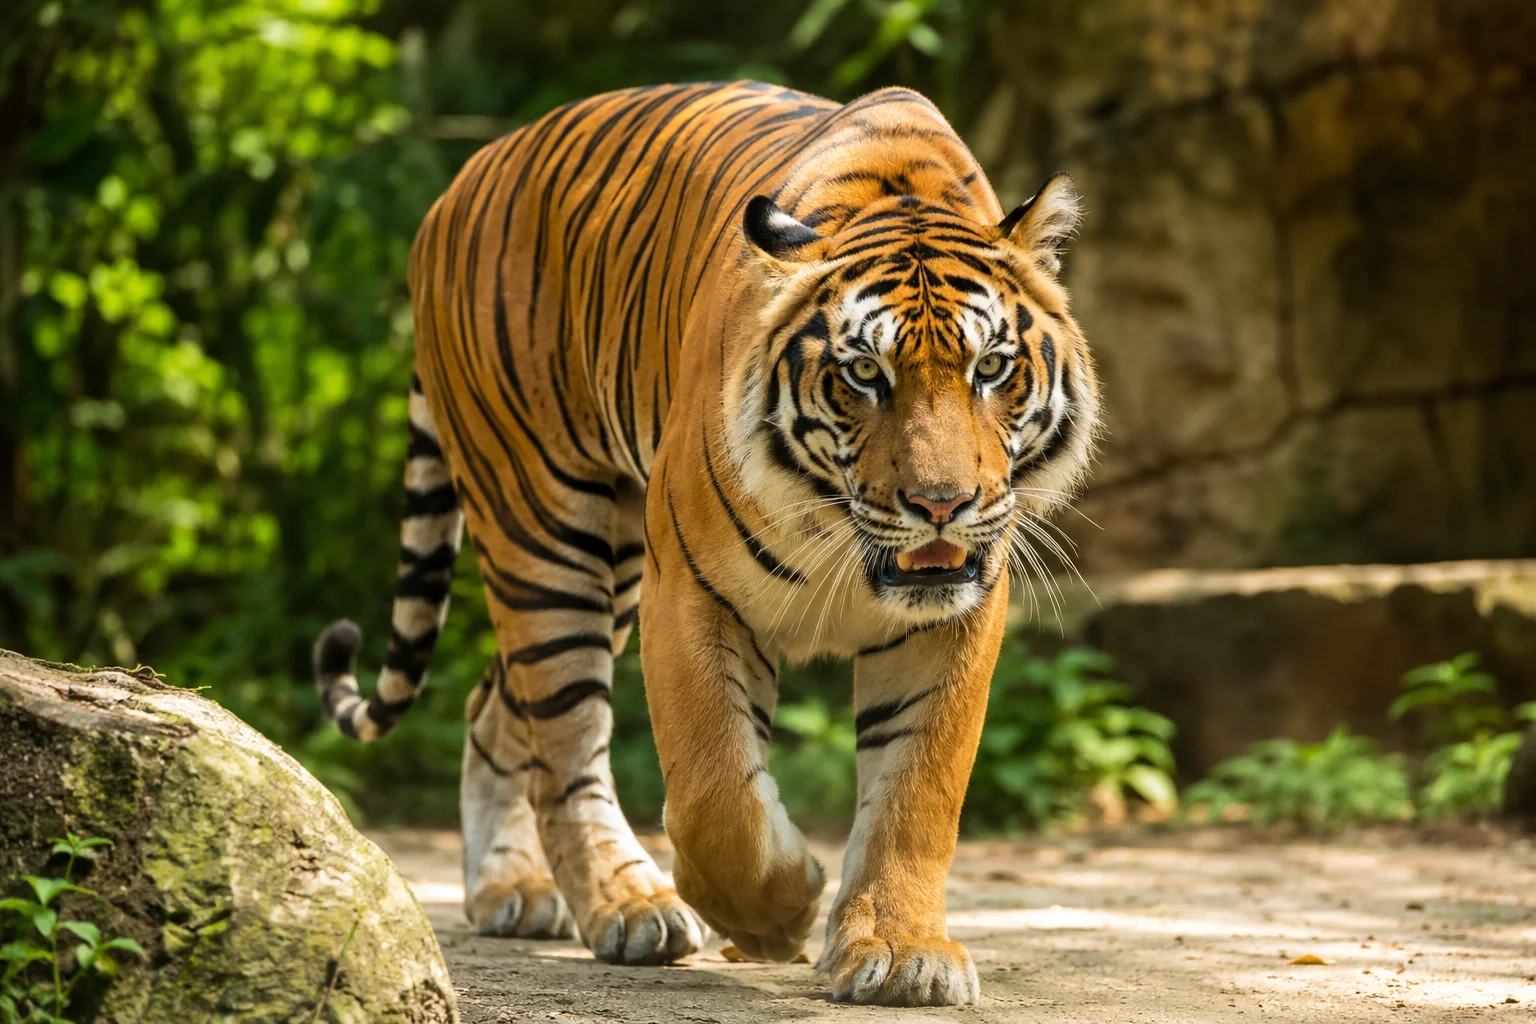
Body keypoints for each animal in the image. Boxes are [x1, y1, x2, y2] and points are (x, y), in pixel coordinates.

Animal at [312, 80, 1098, 1006]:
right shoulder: (687, 586)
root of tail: (460, 181)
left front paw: (901, 951)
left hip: (604, 559)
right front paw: (774, 917)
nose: (942, 504)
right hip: (548, 529)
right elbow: (716, 791)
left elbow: (918, 791)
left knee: (493, 707)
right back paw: (629, 906)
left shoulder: (955, 616)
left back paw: (511, 888)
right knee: (565, 744)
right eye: (865, 374)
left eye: (991, 369)